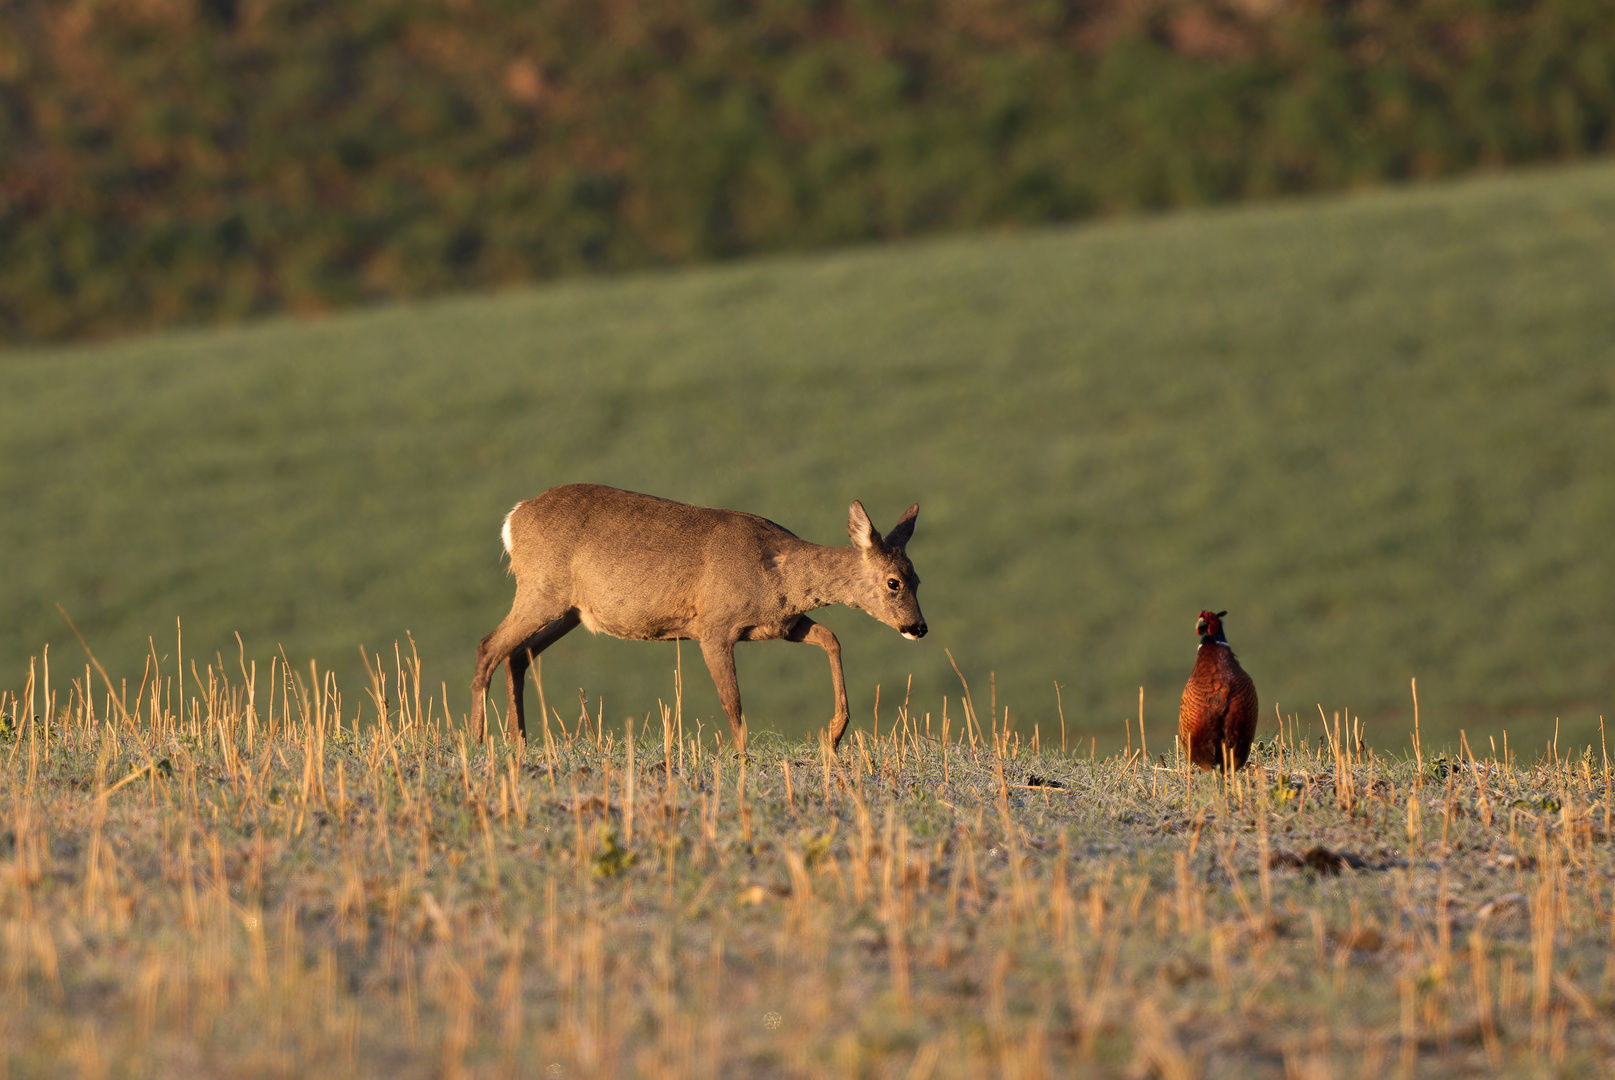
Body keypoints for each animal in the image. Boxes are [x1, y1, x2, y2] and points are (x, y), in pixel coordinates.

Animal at [471, 484, 923, 755]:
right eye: (894, 582)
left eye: (918, 578)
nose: (918, 627)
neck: (778, 572)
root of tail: (513, 519)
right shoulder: (714, 627)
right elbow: (732, 700)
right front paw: (742, 758)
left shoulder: (782, 626)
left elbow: (832, 639)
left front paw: (833, 734)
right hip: (541, 589)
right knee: (489, 645)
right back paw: (478, 738)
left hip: (570, 610)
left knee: (517, 654)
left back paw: (518, 740)